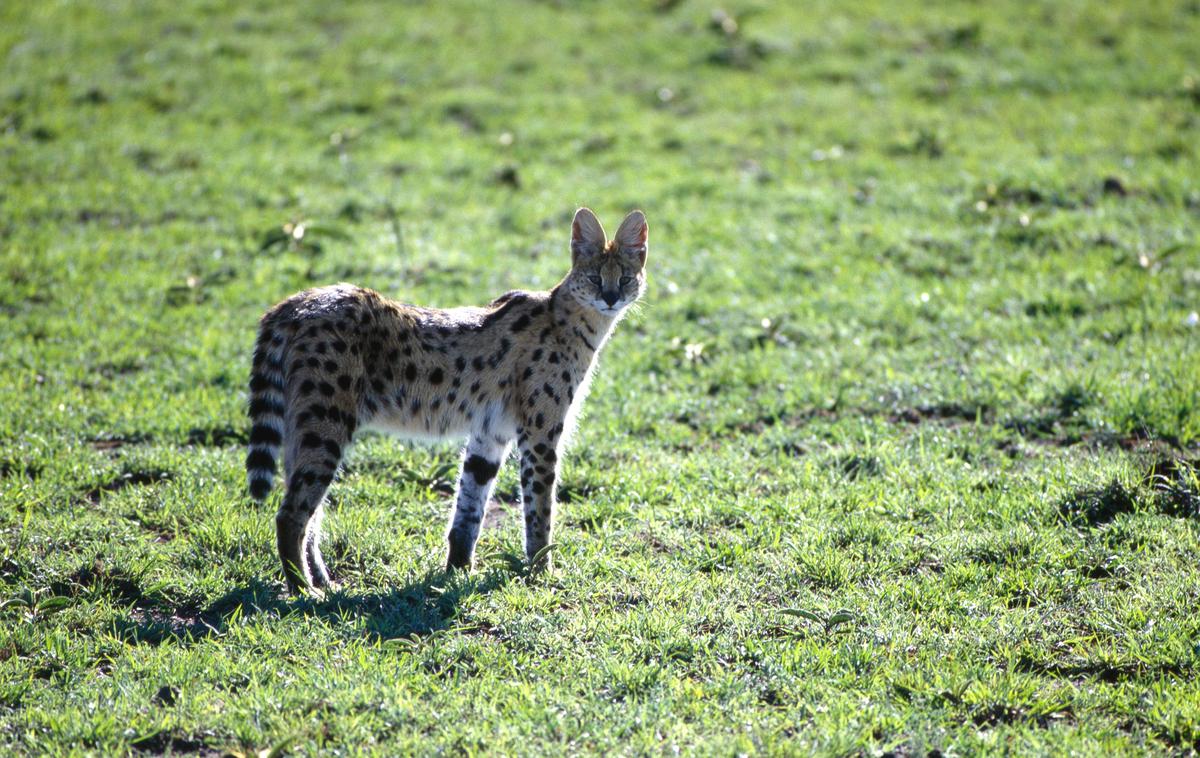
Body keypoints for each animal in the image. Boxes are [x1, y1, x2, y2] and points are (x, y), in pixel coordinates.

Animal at [244, 207, 652, 592]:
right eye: (595, 277)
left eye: (625, 277)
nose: (611, 297)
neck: (570, 320)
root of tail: (294, 302)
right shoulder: (540, 435)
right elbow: (540, 510)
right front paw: (541, 571)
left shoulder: (490, 434)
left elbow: (468, 509)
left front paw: (457, 573)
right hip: (326, 424)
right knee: (291, 513)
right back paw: (303, 590)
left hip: (304, 426)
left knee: (307, 511)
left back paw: (322, 582)